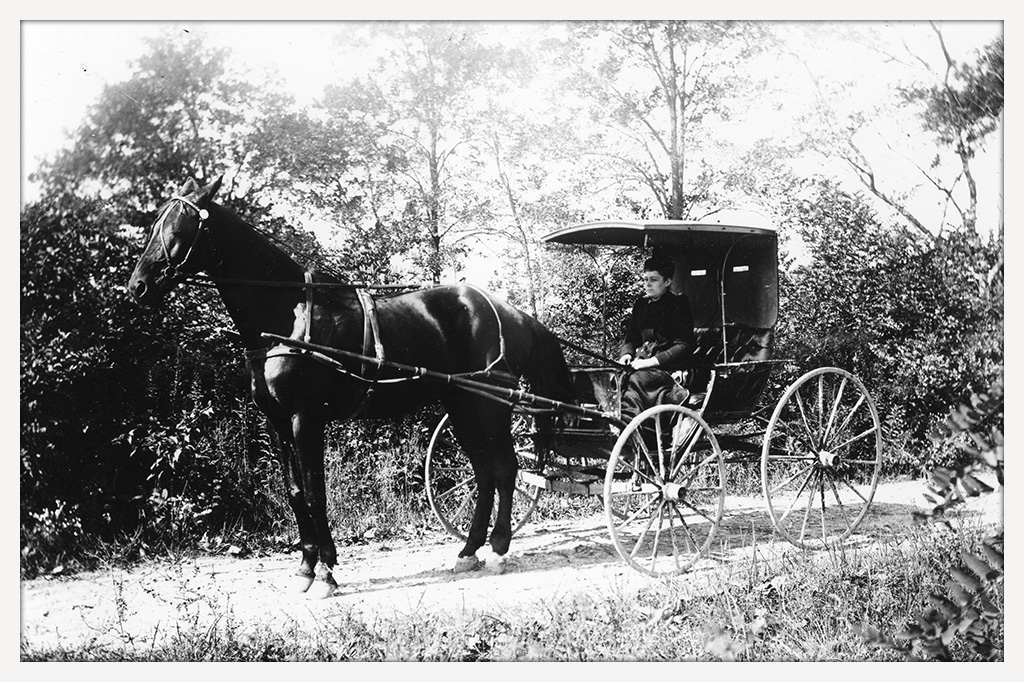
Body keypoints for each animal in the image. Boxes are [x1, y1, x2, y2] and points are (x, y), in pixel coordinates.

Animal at [127, 176, 575, 598]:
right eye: (154, 224)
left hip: (491, 406)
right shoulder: (277, 423)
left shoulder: (306, 418)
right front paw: (305, 568)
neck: (287, 318)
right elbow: (295, 492)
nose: (137, 286)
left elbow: (314, 492)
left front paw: (325, 571)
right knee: (484, 472)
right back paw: (469, 550)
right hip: (461, 406)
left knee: (505, 468)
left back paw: (498, 548)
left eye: (179, 228)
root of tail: (508, 310)